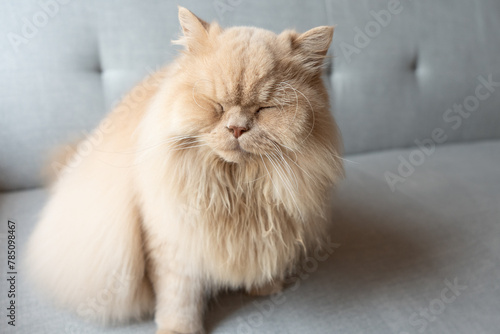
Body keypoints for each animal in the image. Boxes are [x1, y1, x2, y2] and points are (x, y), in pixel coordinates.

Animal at [26, 6, 344, 332]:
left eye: (264, 109)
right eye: (216, 105)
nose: (237, 129)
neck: (237, 188)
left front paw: (264, 286)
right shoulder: (172, 245)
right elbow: (179, 296)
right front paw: (178, 328)